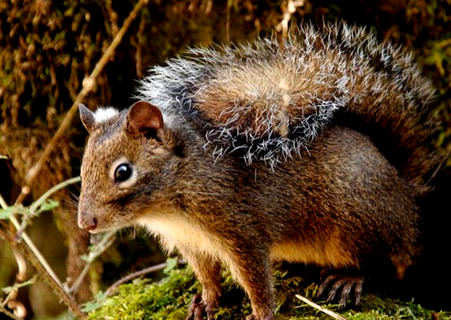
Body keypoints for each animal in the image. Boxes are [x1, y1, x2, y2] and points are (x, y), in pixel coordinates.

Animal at [77, 21, 442, 320]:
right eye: (82, 168)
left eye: (123, 172)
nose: (85, 223)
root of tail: (407, 193)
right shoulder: (191, 244)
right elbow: (207, 275)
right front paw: (207, 302)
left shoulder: (242, 230)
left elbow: (255, 277)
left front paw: (262, 312)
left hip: (358, 226)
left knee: (380, 261)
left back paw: (348, 277)